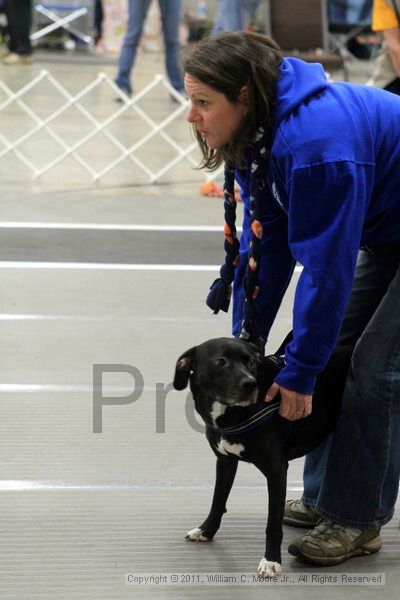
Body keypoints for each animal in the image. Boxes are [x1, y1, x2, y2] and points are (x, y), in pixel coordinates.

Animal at [172, 338, 350, 576]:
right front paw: (206, 531)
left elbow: (272, 524)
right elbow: (218, 501)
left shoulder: (276, 471)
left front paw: (271, 560)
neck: (230, 414)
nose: (250, 384)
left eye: (251, 362)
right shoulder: (225, 461)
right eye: (221, 361)